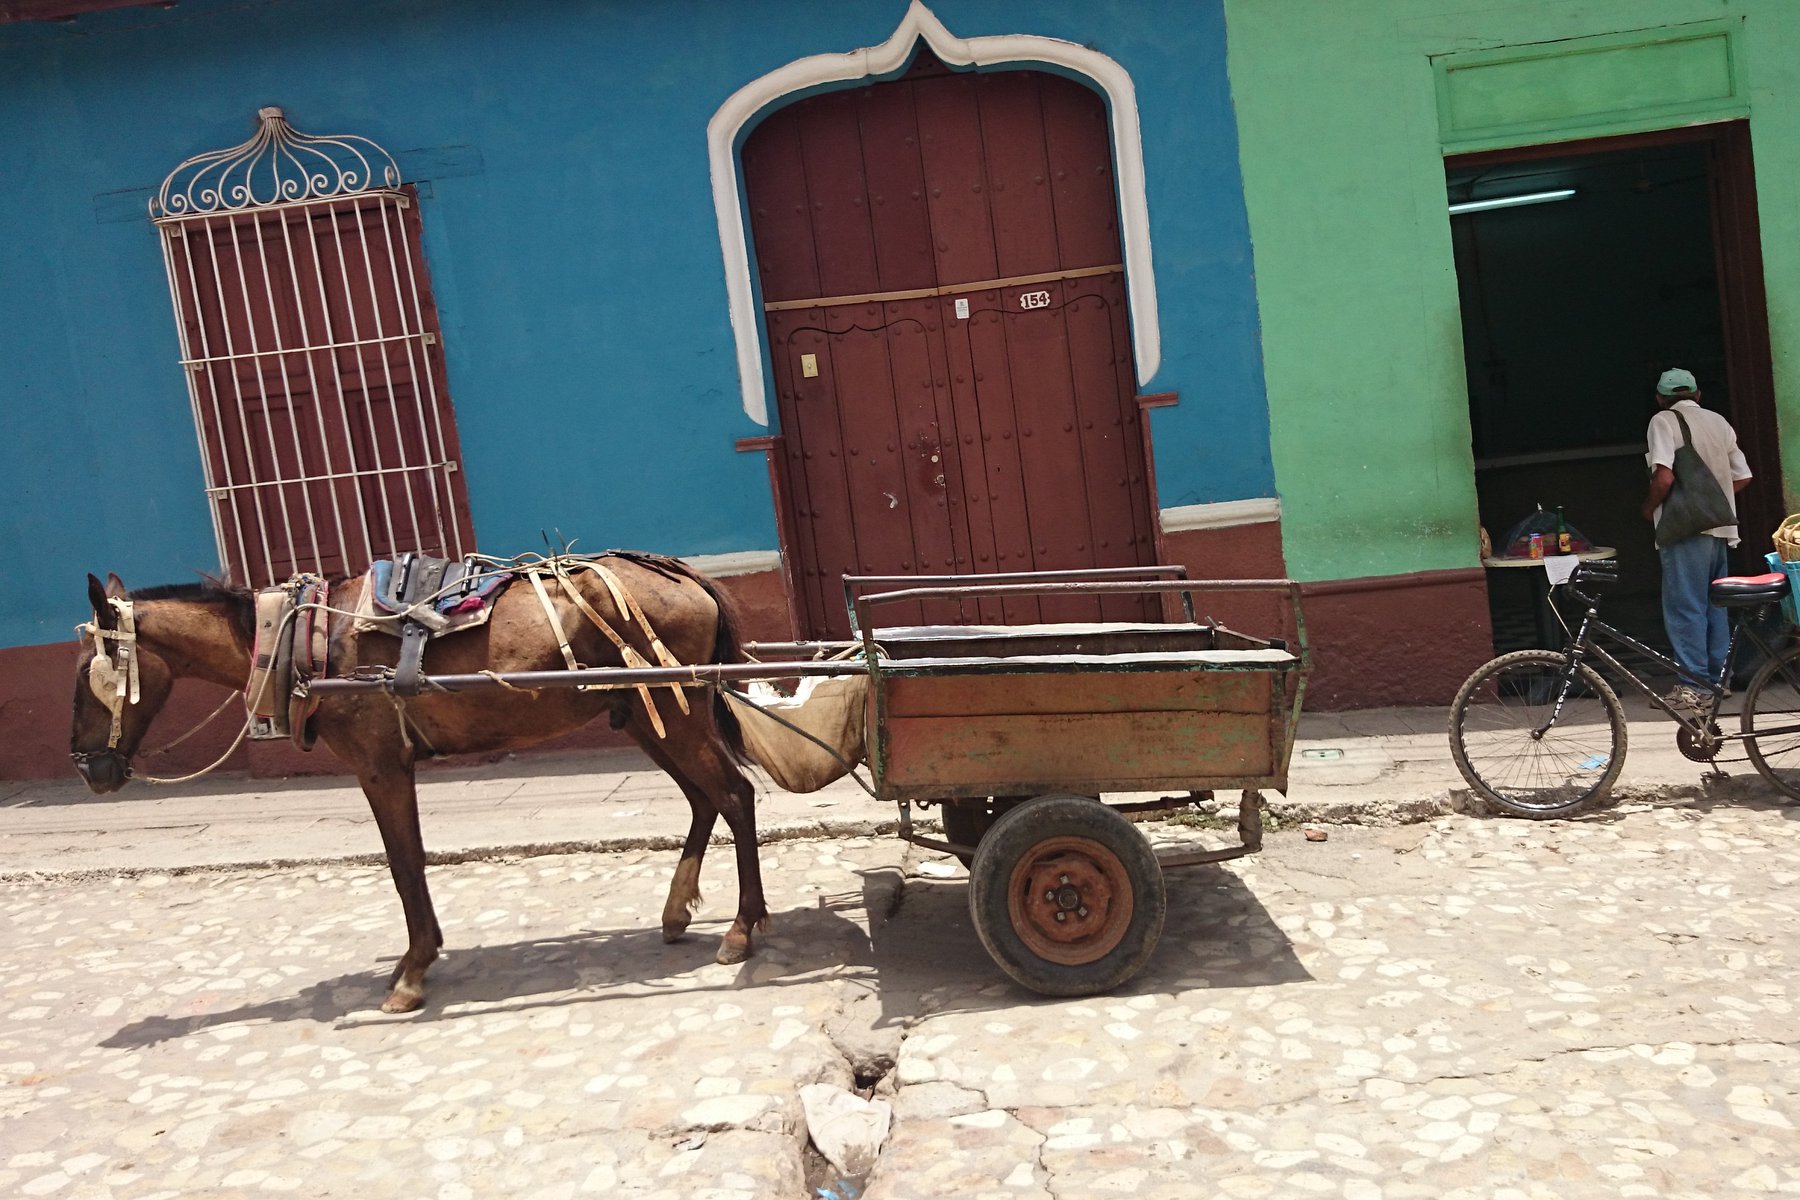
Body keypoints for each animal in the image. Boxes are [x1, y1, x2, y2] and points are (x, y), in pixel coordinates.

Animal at [66, 554, 759, 1014]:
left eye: (86, 674)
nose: (88, 769)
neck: (302, 639)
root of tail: (686, 576)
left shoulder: (380, 763)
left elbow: (404, 862)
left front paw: (412, 970)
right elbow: (410, 860)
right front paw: (415, 959)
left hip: (671, 709)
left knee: (734, 796)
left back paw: (743, 928)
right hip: (646, 714)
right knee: (705, 800)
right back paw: (678, 911)